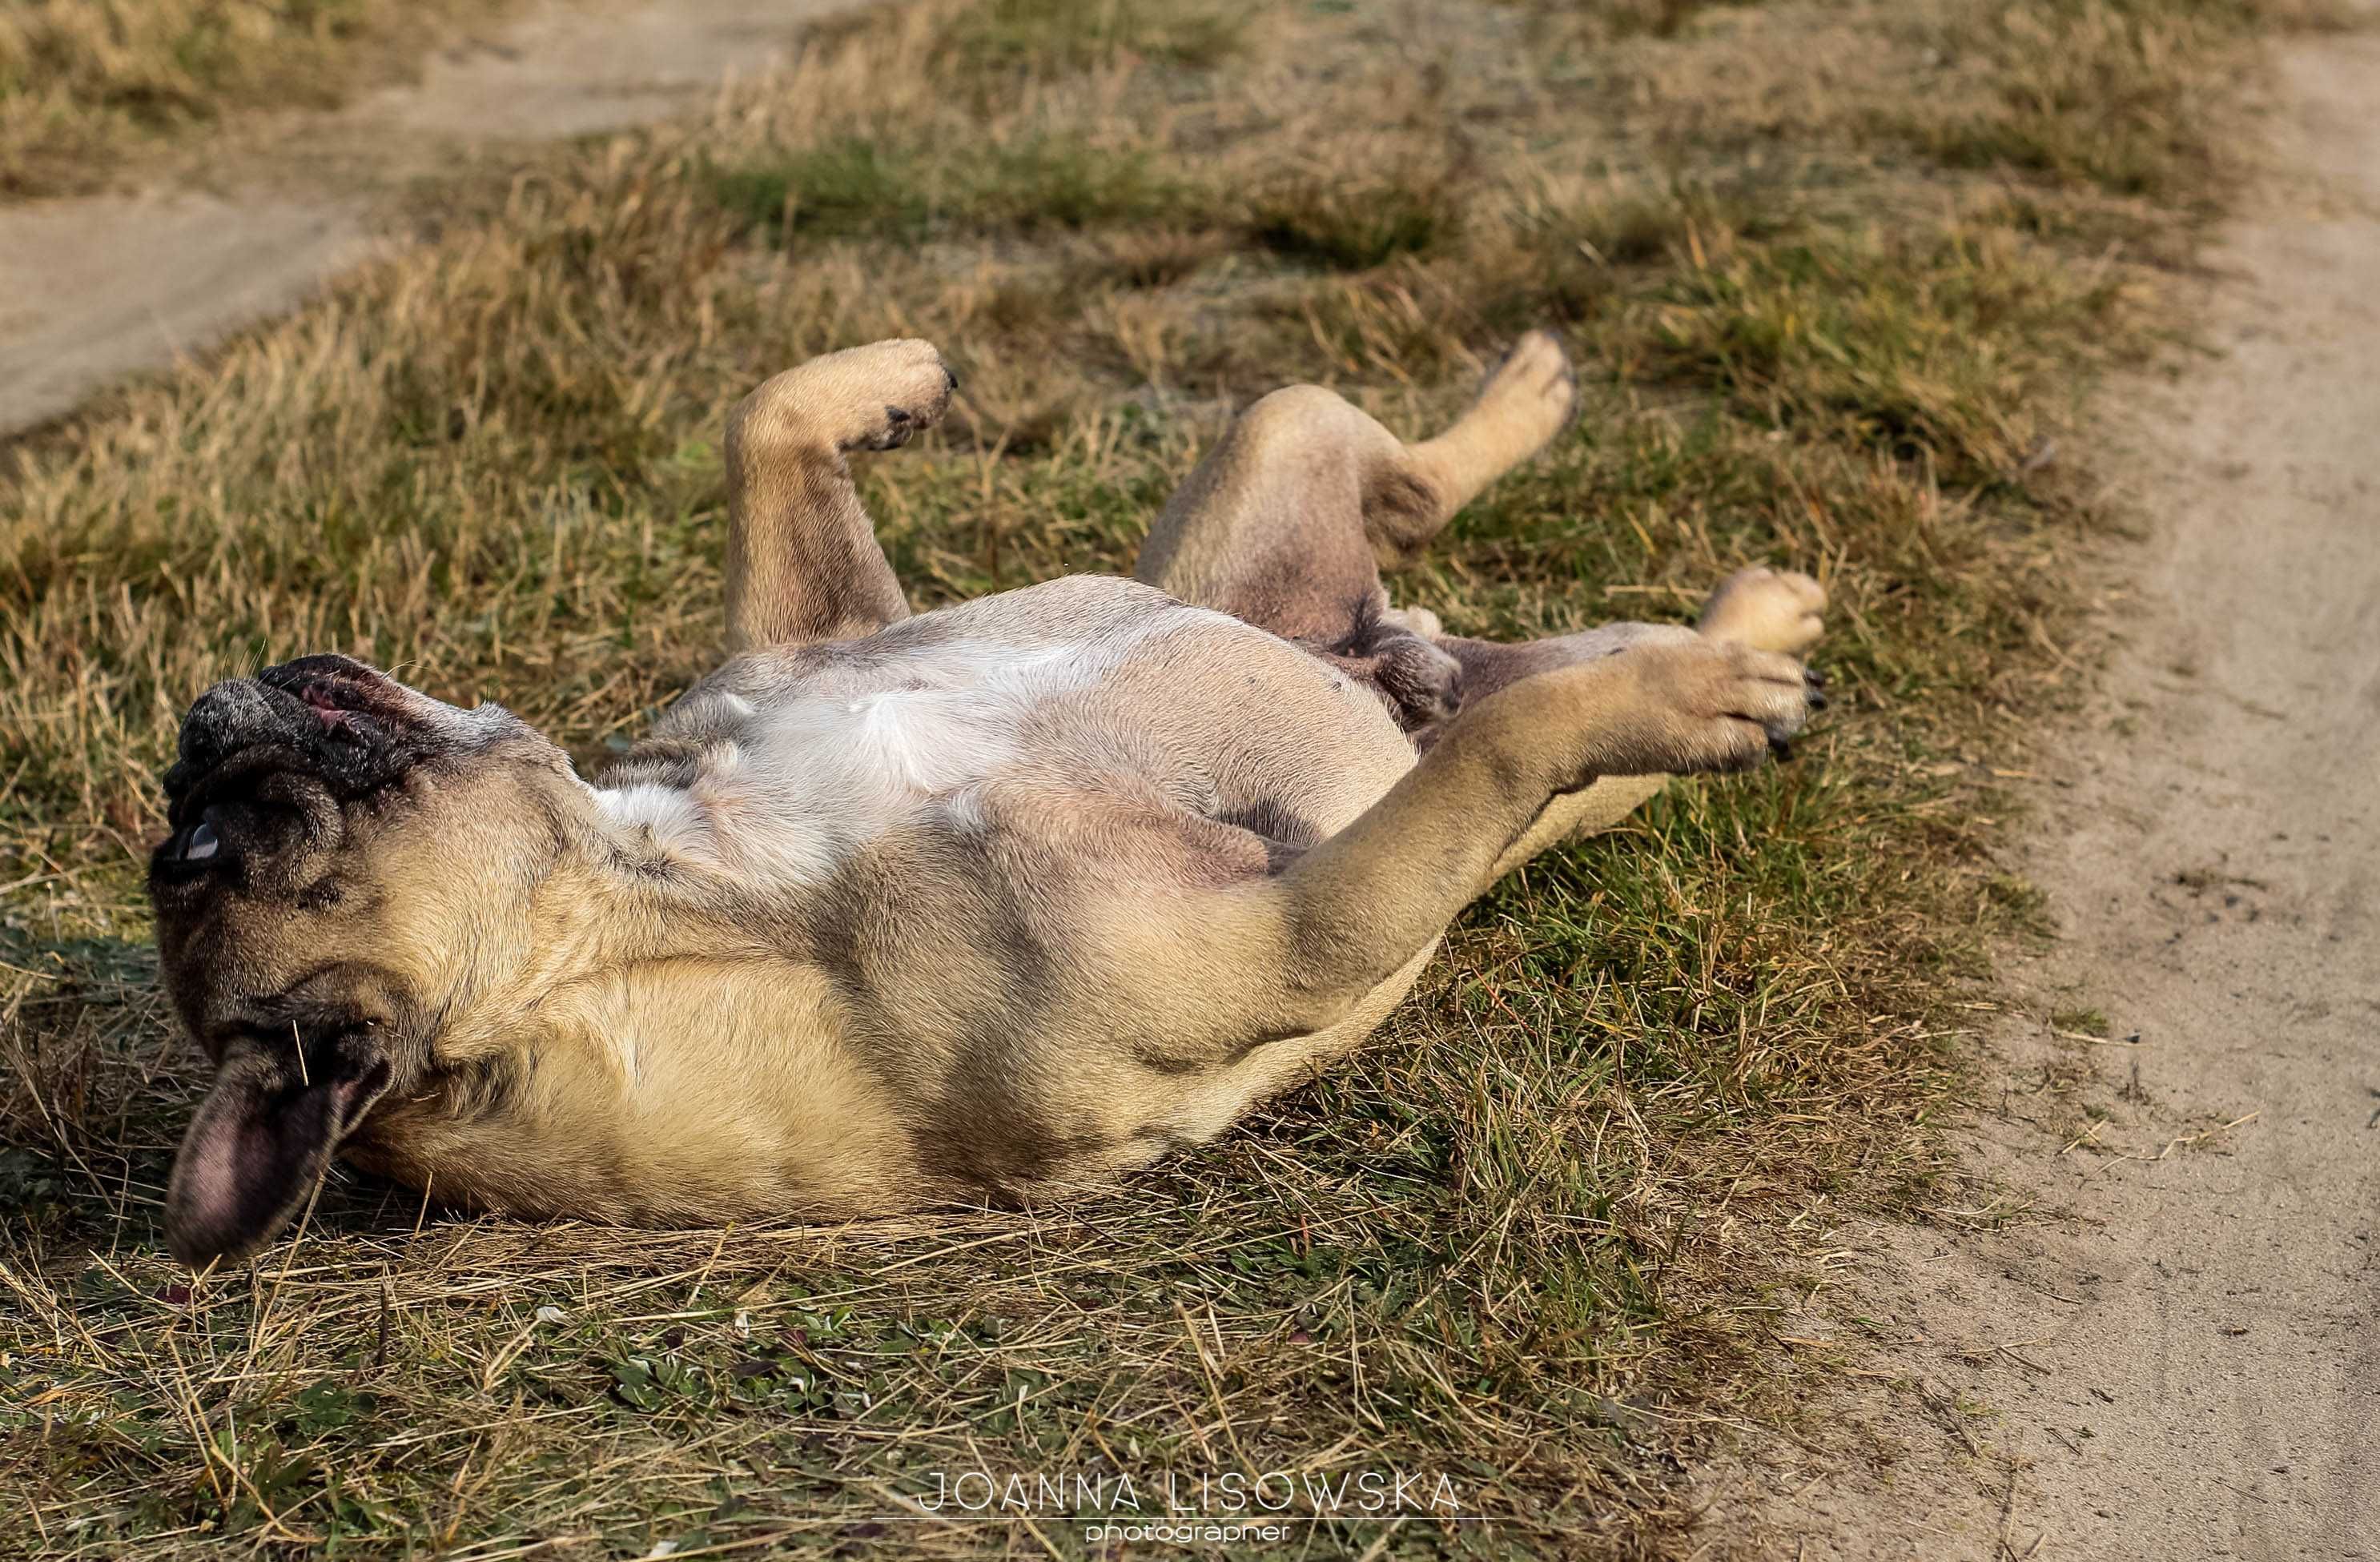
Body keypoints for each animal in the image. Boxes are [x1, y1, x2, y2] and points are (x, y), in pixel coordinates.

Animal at [143, 333, 1818, 1267]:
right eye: (229, 844)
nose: (190, 745)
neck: (701, 878)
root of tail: (1391, 646)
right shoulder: (1301, 924)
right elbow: (1502, 752)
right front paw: (1686, 696)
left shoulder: (808, 636)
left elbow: (760, 420)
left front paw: (879, 382)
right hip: (1517, 796)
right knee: (1495, 689)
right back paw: (1719, 652)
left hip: (1269, 482)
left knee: (1365, 458)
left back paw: (1664, 530)